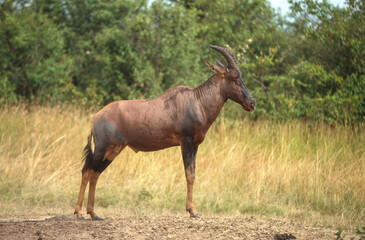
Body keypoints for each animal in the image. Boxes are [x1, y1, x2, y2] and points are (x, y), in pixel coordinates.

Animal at [74, 44, 255, 219]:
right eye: (235, 78)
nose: (251, 103)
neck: (196, 101)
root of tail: (96, 117)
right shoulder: (186, 141)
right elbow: (189, 174)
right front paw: (192, 211)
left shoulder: (195, 145)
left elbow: (193, 174)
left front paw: (192, 210)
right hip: (102, 149)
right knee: (86, 171)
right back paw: (79, 213)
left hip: (113, 151)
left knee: (95, 173)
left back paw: (94, 214)